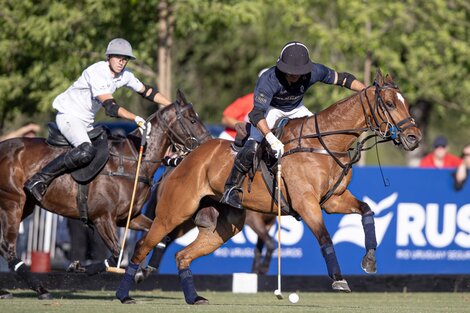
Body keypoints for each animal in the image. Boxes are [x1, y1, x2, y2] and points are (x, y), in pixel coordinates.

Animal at [0, 89, 210, 298]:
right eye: (193, 120)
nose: (208, 145)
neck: (133, 162)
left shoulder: (129, 217)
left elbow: (161, 238)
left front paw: (140, 273)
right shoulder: (102, 217)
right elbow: (117, 253)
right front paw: (79, 267)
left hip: (24, 206)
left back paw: (8, 291)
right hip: (12, 203)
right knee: (7, 248)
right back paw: (41, 289)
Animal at [116, 70, 422, 302]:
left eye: (405, 103)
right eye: (390, 104)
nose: (414, 137)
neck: (325, 143)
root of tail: (180, 159)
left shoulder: (334, 199)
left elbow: (367, 210)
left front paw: (369, 261)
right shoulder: (306, 202)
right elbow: (325, 237)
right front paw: (338, 279)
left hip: (221, 226)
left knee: (182, 254)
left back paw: (193, 298)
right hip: (175, 212)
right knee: (144, 245)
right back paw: (125, 292)